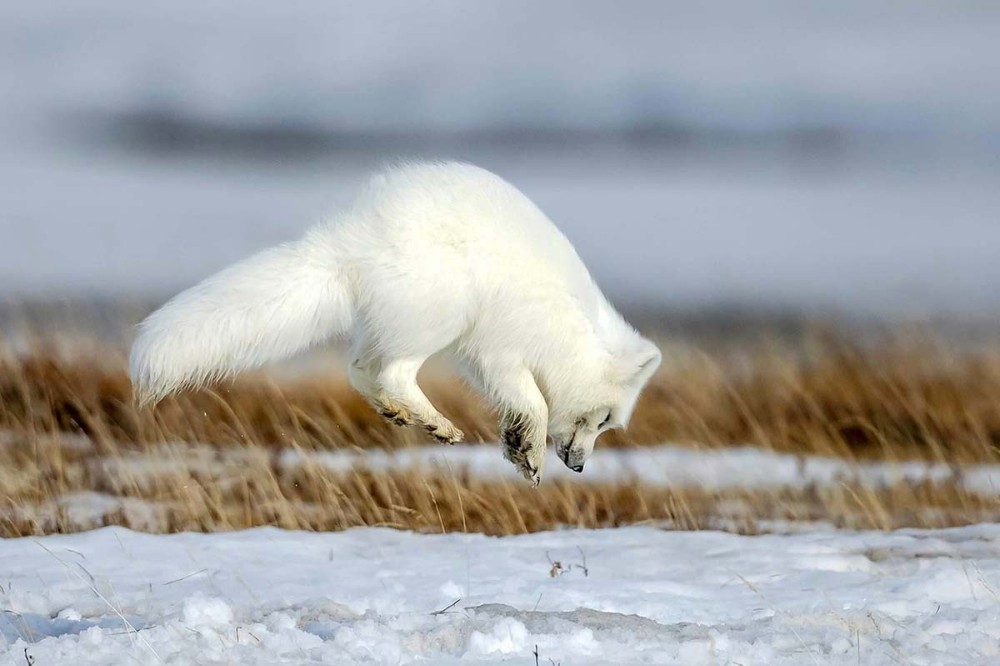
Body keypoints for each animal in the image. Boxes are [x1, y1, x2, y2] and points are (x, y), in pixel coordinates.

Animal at [133, 161, 664, 482]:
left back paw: (405, 416)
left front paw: (516, 446)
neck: (574, 329)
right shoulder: (501, 349)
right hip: (445, 312)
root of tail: (347, 242)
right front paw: (528, 453)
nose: (579, 468)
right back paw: (437, 424)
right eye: (605, 420)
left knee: (359, 369)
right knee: (393, 371)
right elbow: (532, 401)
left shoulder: (488, 359)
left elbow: (520, 404)